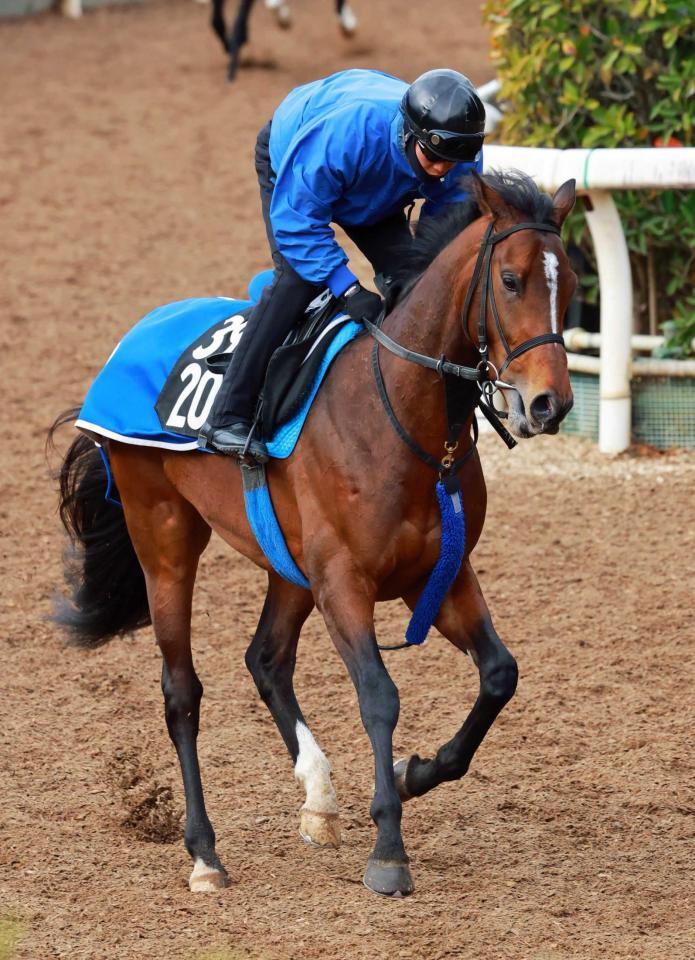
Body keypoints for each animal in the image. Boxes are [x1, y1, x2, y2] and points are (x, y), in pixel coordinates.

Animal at [49, 170, 577, 897]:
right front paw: (388, 849)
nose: (550, 405)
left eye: (572, 284)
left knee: (265, 658)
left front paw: (415, 773)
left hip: (289, 563)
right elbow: (379, 696)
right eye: (510, 280)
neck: (396, 414)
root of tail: (138, 331)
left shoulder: (437, 575)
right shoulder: (344, 583)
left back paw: (318, 798)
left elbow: (500, 675)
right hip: (163, 534)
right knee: (181, 691)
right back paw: (205, 854)